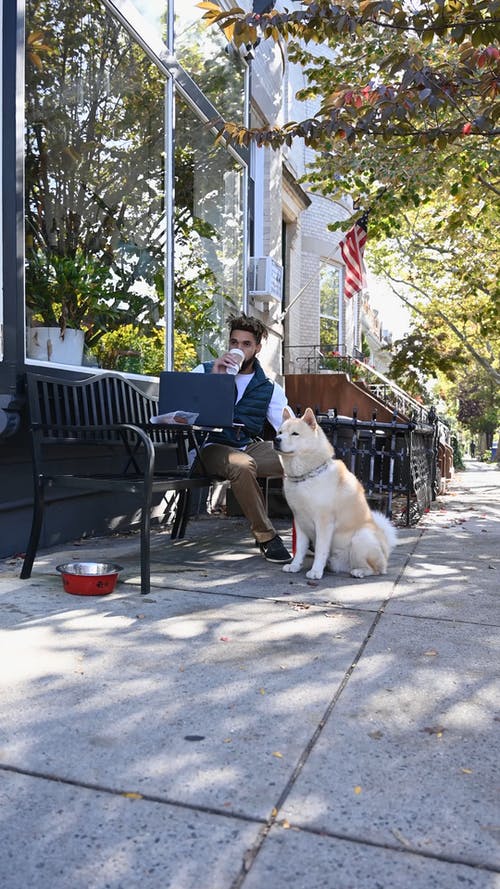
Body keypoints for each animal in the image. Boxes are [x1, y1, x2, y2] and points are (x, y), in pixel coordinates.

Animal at [274, 408, 394, 580]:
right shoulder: (299, 521)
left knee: (375, 569)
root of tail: (386, 550)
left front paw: (316, 571)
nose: (276, 440)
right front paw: (295, 566)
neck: (305, 477)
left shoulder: (324, 522)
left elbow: (320, 550)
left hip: (361, 538)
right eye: (280, 432)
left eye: (295, 434)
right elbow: (300, 549)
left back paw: (359, 572)